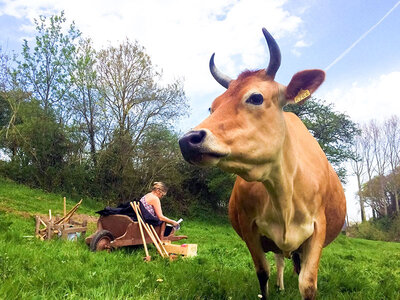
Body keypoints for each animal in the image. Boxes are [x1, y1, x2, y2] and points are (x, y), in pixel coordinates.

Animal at [180, 27, 346, 298]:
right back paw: (280, 285)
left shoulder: (318, 228)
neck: (284, 189)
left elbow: (308, 283)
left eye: (256, 97)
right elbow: (262, 273)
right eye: (212, 107)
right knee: (279, 260)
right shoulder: (249, 228)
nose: (188, 140)